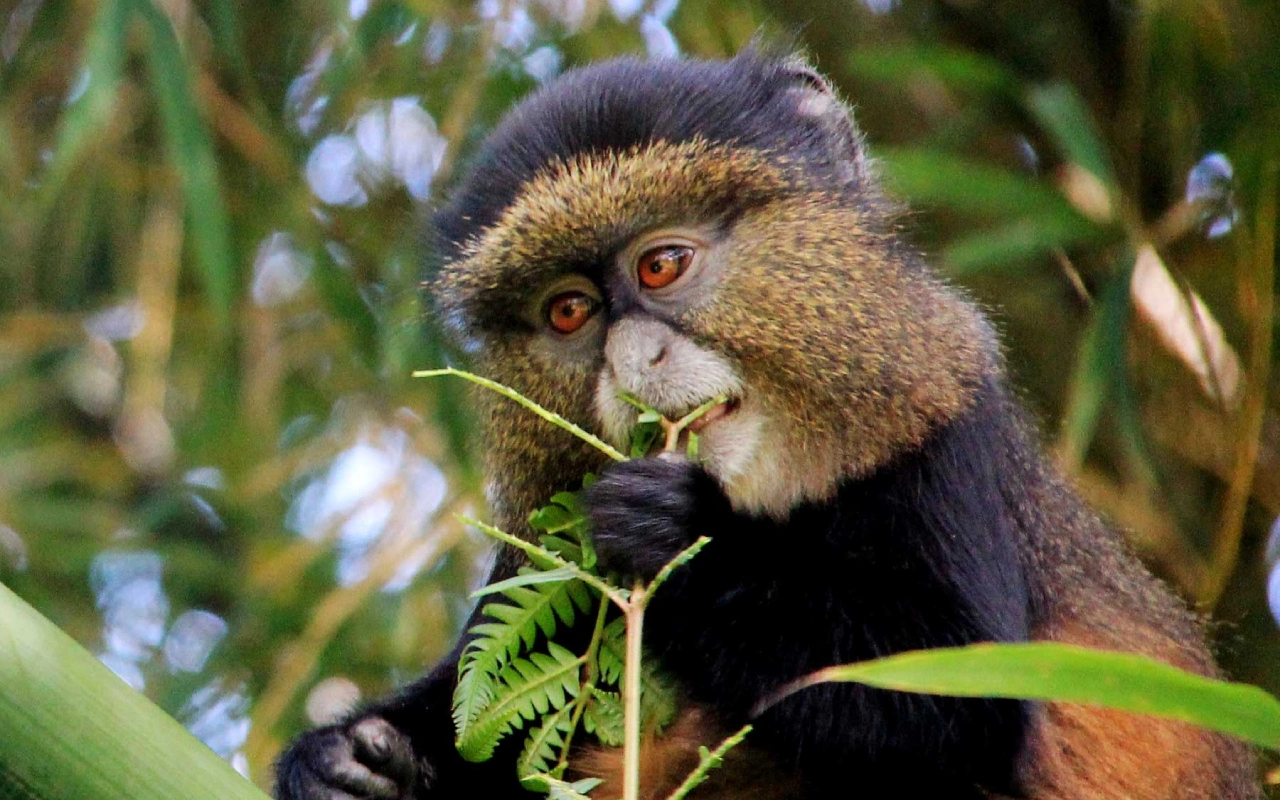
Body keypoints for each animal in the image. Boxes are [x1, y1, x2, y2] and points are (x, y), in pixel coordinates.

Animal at [274, 52, 1258, 800]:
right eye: (568, 313)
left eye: (662, 265)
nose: (633, 360)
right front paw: (346, 764)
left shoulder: (945, 435)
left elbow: (955, 708)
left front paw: (676, 530)